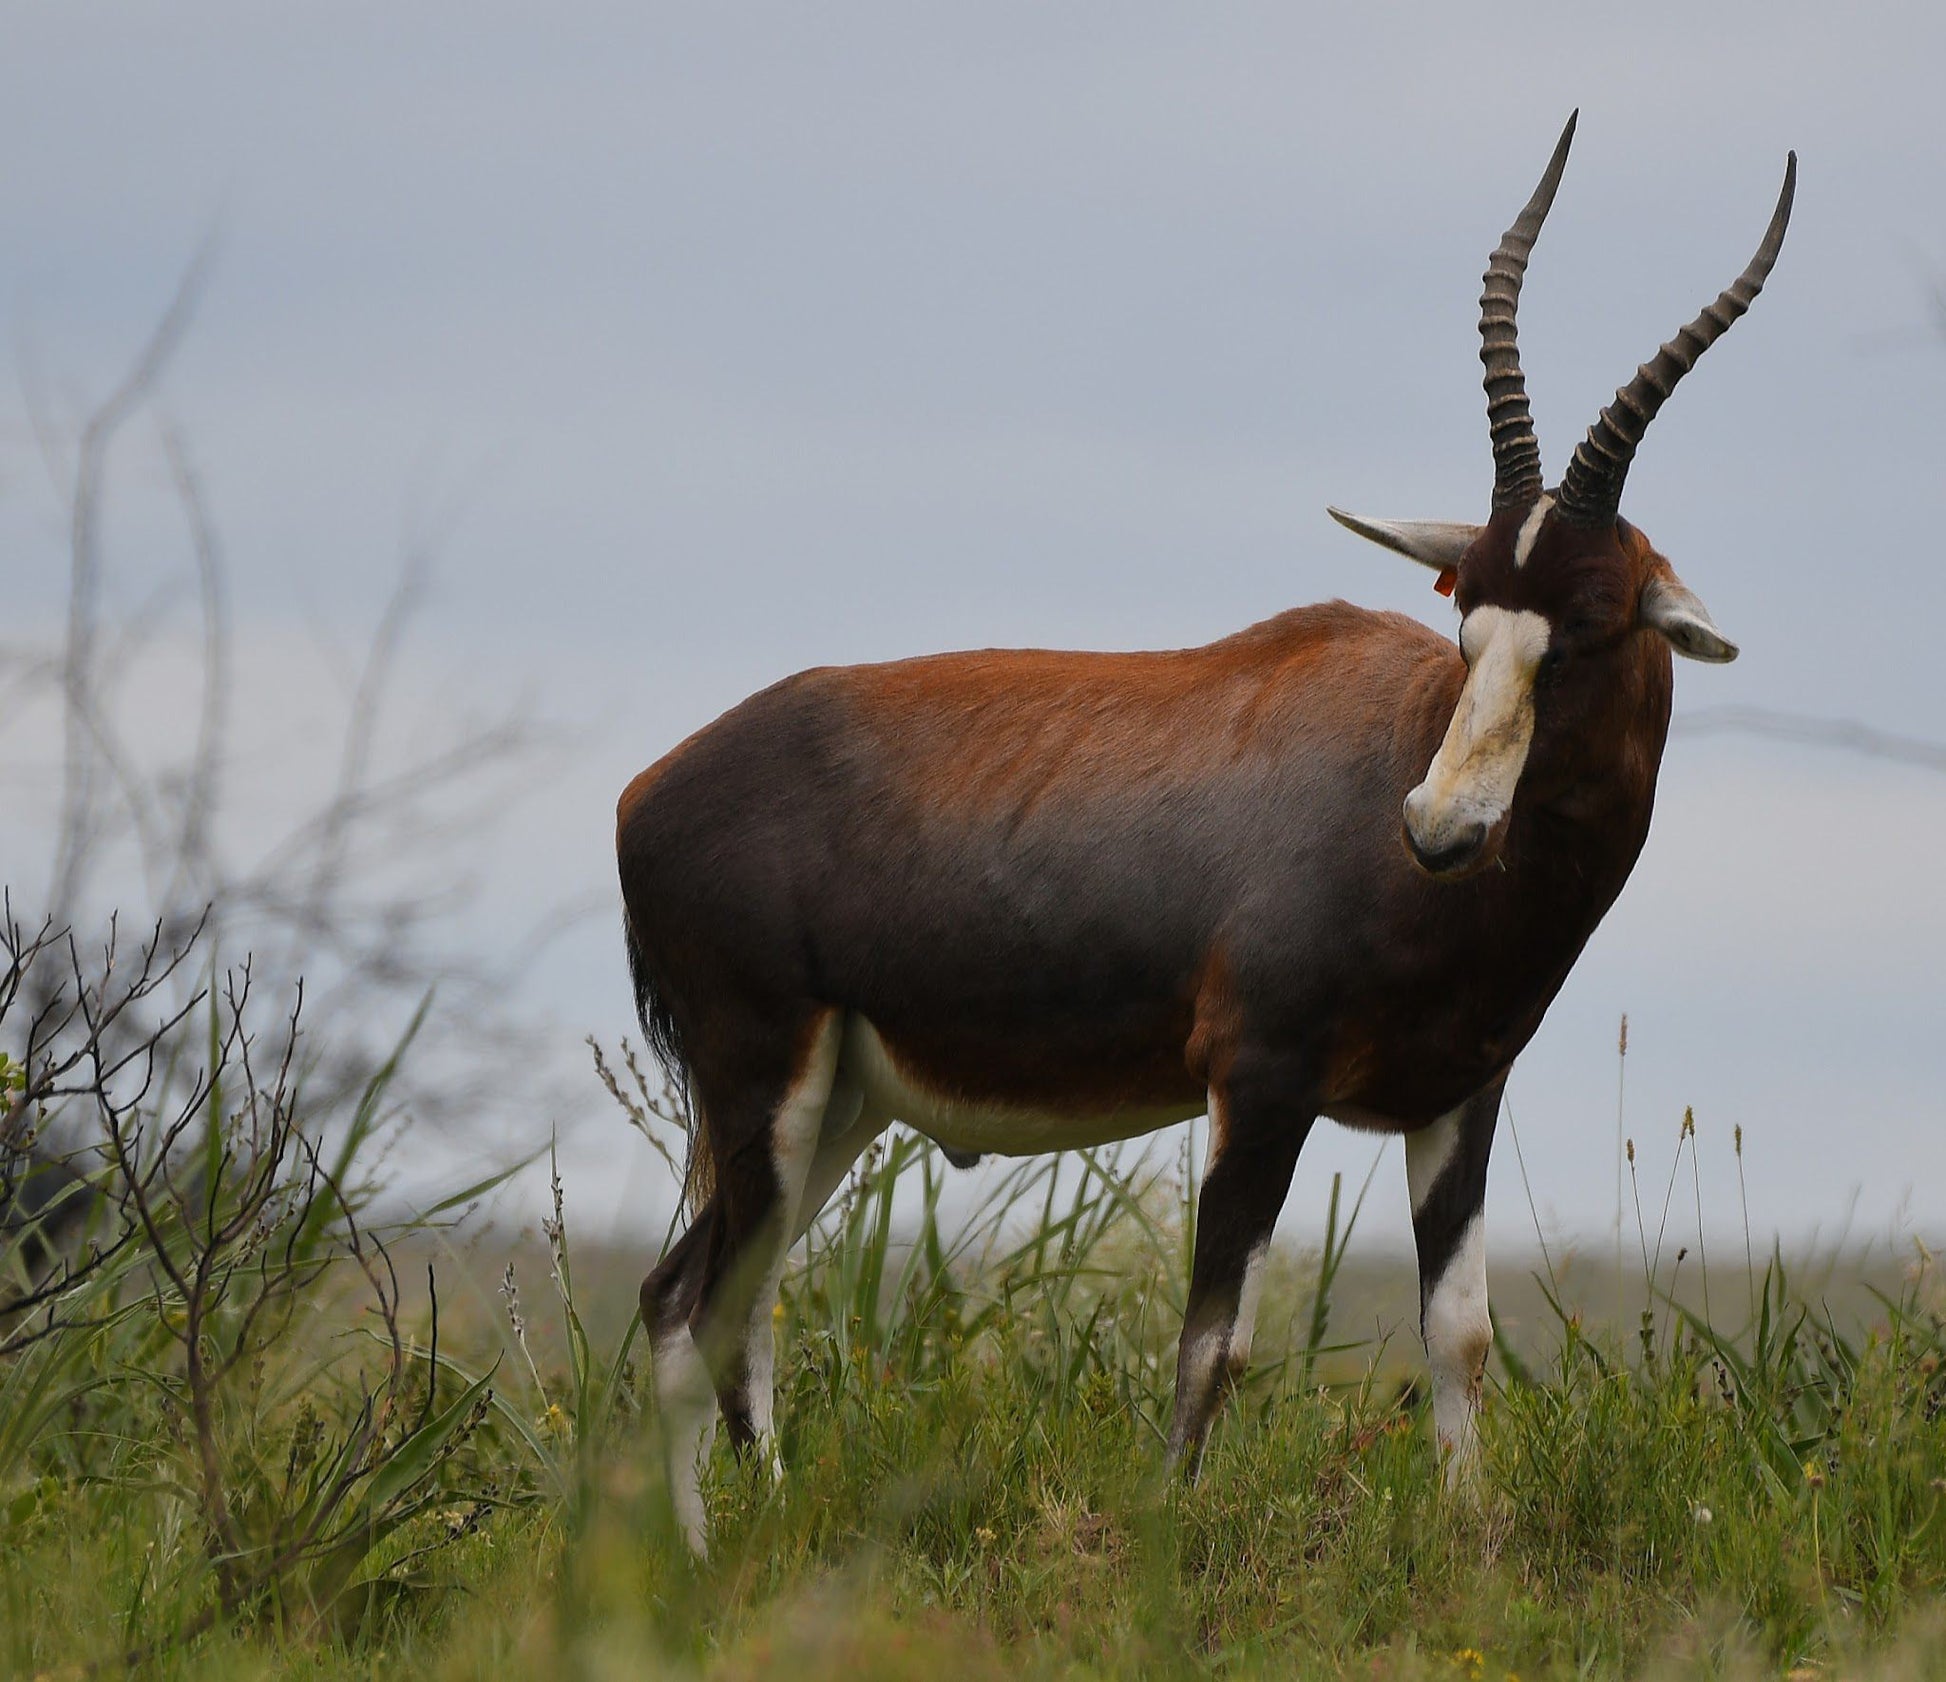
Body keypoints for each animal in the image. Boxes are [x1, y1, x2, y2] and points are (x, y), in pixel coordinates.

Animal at [618, 111, 1790, 1541]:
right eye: (1465, 619)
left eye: (1581, 629)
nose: (1437, 828)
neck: (1398, 741)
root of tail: (647, 790)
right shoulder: (1260, 1079)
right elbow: (1212, 1342)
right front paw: (1165, 1540)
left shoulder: (1458, 1097)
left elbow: (1457, 1332)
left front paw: (1467, 1540)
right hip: (761, 1084)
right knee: (690, 1308)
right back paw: (695, 1558)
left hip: (836, 1102)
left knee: (717, 1304)